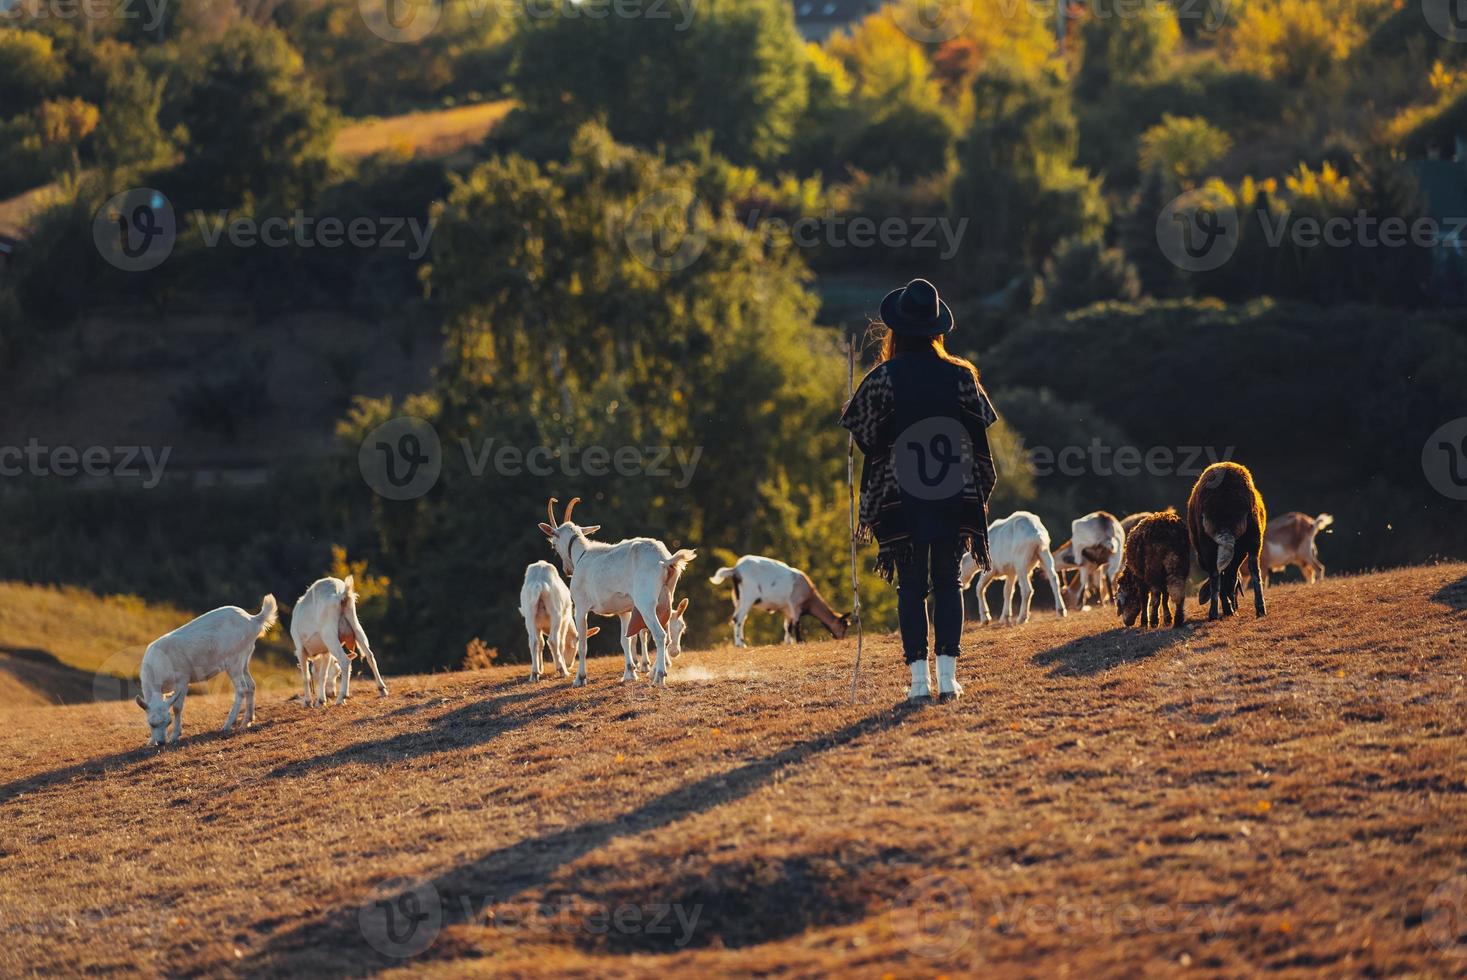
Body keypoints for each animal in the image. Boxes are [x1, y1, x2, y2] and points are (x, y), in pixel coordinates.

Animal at [136, 592, 278, 745]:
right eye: (151, 724)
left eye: (168, 722)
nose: (161, 742)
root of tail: (253, 620)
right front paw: (150, 741)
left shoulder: (183, 679)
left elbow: (177, 707)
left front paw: (175, 736)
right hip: (245, 657)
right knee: (251, 684)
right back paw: (247, 721)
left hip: (234, 660)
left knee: (241, 688)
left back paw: (227, 725)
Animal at [286, 575, 387, 704]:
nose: (332, 693)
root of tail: (341, 594)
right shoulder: (326, 652)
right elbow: (323, 675)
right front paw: (321, 700)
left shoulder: (300, 649)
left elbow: (306, 676)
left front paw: (308, 702)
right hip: (355, 624)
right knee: (369, 655)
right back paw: (382, 689)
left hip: (329, 634)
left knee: (345, 661)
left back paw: (341, 697)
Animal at [539, 498, 698, 689]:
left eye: (553, 545)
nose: (568, 570)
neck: (583, 555)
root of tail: (665, 560)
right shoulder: (624, 611)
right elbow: (625, 640)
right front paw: (629, 674)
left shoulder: (581, 607)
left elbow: (583, 643)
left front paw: (580, 678)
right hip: (666, 599)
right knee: (665, 635)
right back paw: (658, 671)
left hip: (645, 603)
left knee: (660, 635)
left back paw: (659, 676)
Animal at [707, 554, 850, 645]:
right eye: (844, 626)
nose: (841, 639)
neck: (809, 595)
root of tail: (735, 570)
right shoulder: (795, 605)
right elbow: (796, 624)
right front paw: (800, 641)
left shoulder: (787, 610)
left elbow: (788, 626)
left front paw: (788, 642)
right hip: (748, 597)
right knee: (738, 619)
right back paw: (741, 644)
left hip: (738, 599)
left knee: (739, 619)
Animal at [1185, 460, 1267, 619]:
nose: (1236, 604)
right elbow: (1231, 576)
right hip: (1254, 535)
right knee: (1254, 569)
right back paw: (1259, 608)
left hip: (1207, 546)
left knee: (1216, 574)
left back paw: (1216, 612)